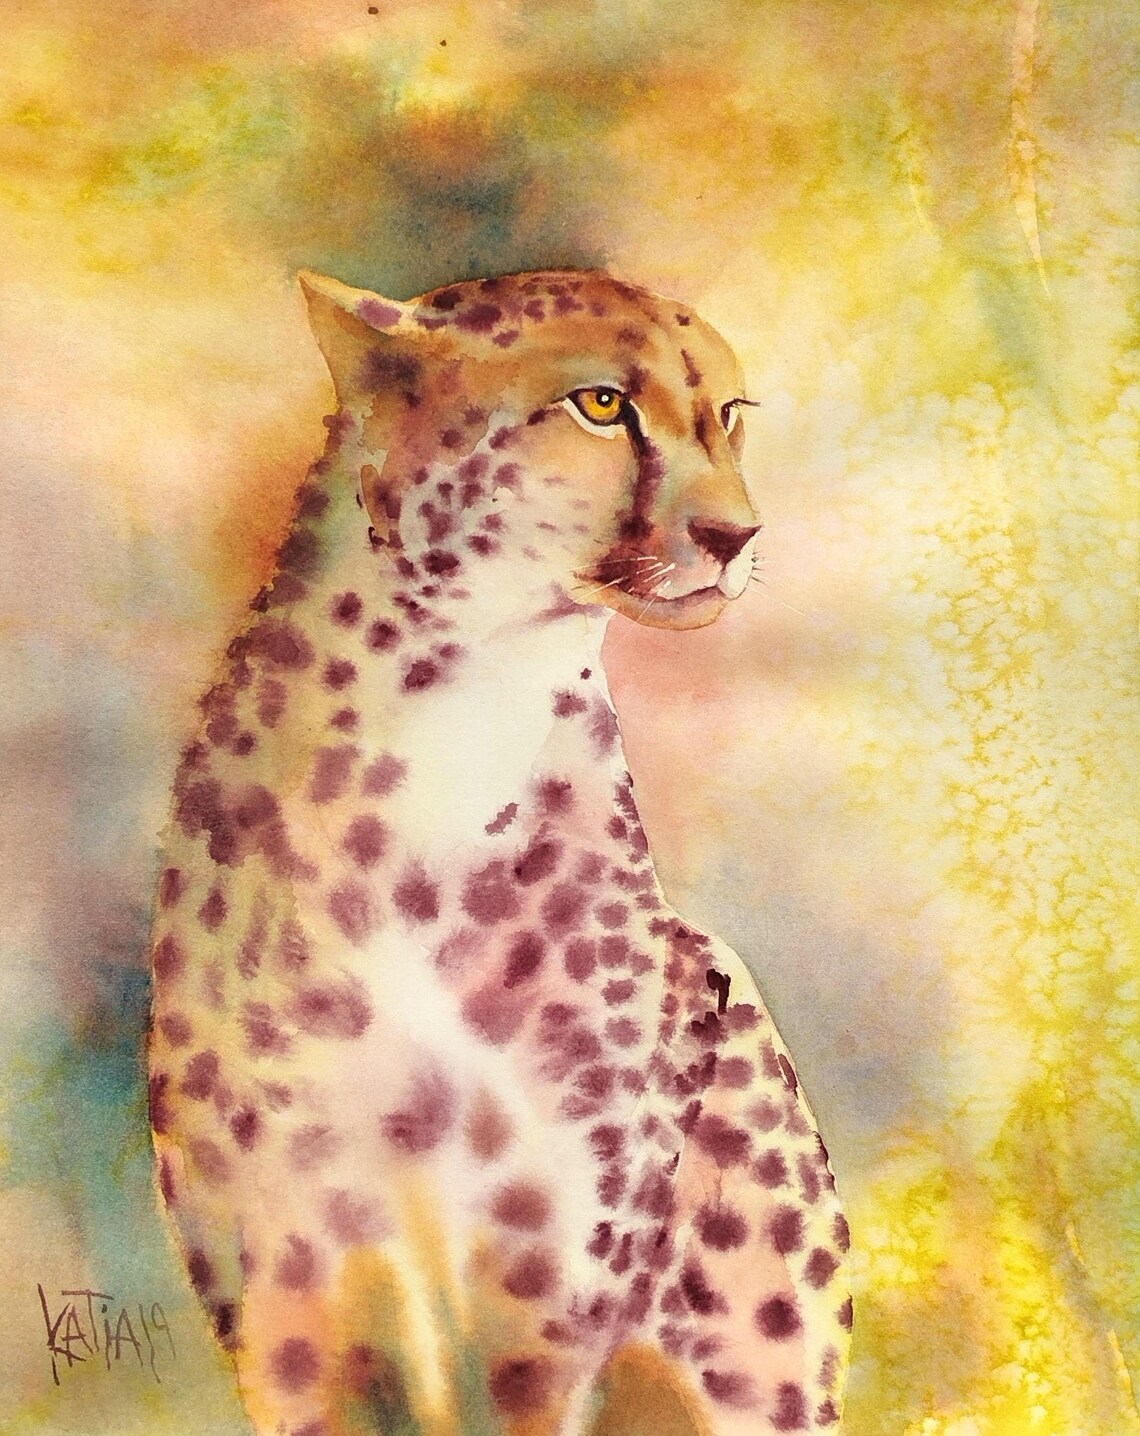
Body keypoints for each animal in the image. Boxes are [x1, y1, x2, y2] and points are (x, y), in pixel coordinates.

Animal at [147, 266, 851, 1436]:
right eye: (603, 404)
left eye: (728, 414)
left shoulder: (549, 1281)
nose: (736, 533)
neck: (456, 715)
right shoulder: (291, 1279)